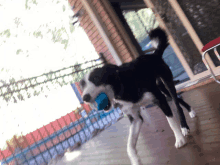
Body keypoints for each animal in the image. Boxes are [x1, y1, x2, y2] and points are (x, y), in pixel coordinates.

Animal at [80, 27, 196, 164]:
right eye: (82, 85)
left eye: (96, 79)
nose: (84, 98)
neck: (122, 85)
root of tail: (154, 54)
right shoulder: (135, 118)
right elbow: (129, 145)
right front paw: (135, 160)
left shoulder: (160, 100)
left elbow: (171, 121)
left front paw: (179, 139)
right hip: (161, 88)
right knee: (178, 99)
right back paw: (191, 111)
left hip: (167, 83)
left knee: (177, 103)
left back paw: (184, 127)